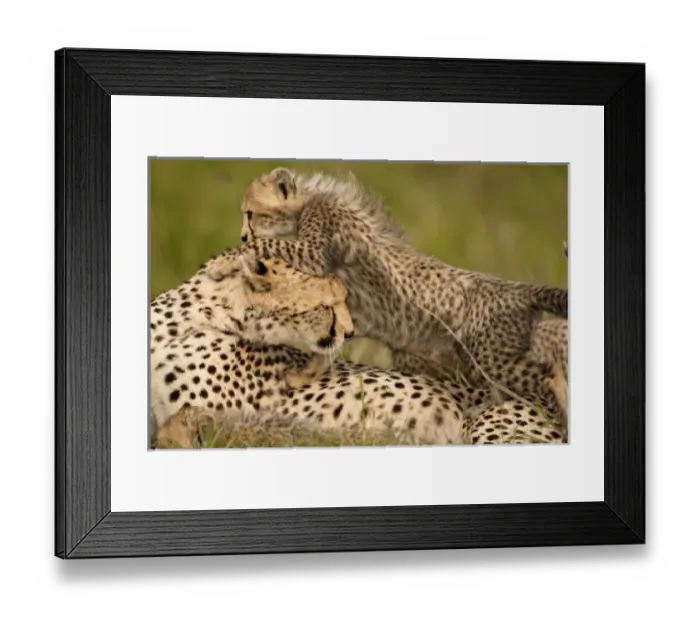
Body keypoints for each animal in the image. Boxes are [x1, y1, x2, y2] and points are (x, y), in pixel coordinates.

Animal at [204, 167, 569, 423]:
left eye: (250, 213)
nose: (242, 232)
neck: (311, 198)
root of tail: (519, 289)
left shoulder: (315, 251)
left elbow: (267, 244)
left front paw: (223, 262)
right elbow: (327, 346)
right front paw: (304, 376)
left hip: (493, 361)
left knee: (549, 375)